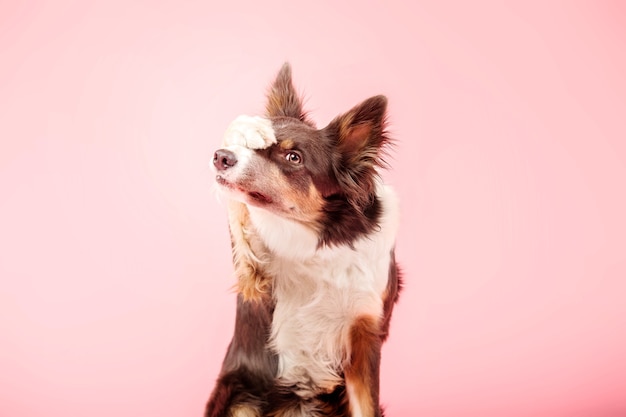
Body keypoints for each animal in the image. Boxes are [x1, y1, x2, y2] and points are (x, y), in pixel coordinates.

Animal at [205, 62, 400, 416]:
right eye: (249, 150)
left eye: (293, 157)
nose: (221, 157)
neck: (325, 238)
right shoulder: (254, 273)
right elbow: (239, 217)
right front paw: (247, 128)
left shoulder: (365, 334)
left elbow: (365, 404)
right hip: (241, 395)